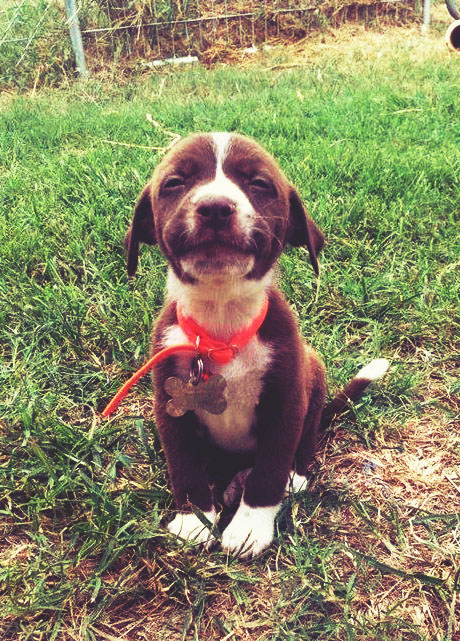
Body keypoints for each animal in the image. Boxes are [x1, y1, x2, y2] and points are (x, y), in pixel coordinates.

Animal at [123, 132, 388, 556]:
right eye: (175, 183)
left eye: (260, 184)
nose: (215, 208)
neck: (222, 327)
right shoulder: (170, 403)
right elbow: (184, 464)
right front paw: (193, 518)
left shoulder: (285, 401)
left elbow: (269, 471)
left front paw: (249, 526)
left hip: (312, 374)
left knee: (304, 443)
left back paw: (290, 479)